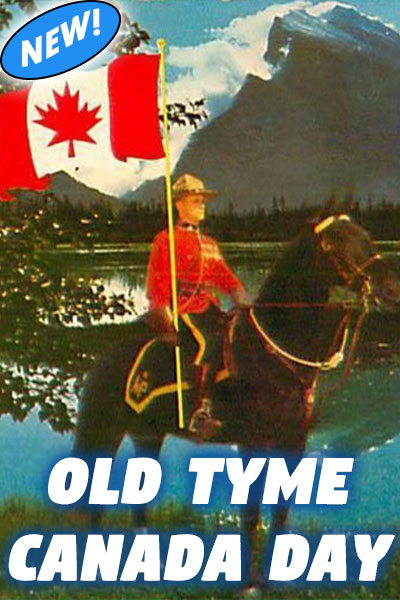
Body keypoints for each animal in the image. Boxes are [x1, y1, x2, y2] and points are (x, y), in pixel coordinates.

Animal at [74, 213, 396, 584]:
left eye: (367, 236)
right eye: (336, 243)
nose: (391, 288)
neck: (275, 350)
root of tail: (105, 355)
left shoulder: (294, 440)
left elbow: (281, 511)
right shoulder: (253, 441)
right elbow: (252, 514)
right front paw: (249, 584)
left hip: (148, 434)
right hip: (103, 430)